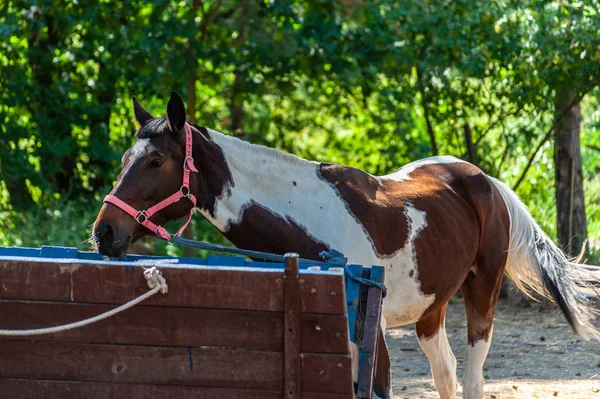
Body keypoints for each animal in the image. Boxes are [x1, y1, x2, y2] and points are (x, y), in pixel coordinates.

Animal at [91, 91, 596, 399]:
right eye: (127, 157)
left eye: (156, 160)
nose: (104, 232)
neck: (312, 224)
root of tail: (482, 179)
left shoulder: (372, 331)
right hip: (430, 309)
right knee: (446, 373)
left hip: (482, 292)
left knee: (472, 375)